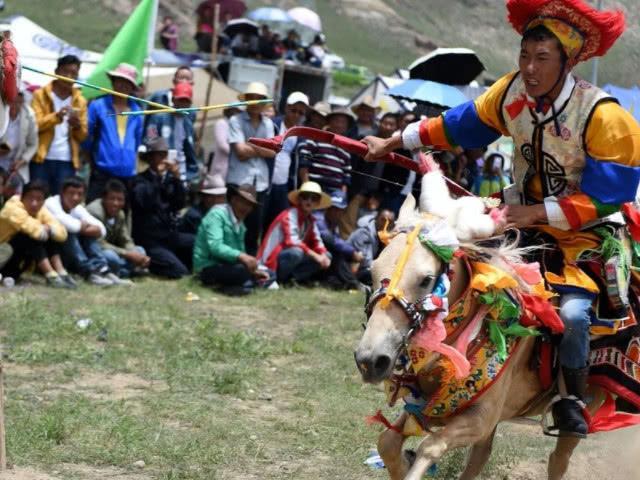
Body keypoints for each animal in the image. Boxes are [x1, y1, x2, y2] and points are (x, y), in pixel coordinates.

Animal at [352, 172, 604, 480]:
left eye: (426, 280)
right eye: (371, 271)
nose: (370, 360)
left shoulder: (480, 416)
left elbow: (430, 446)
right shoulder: (428, 405)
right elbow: (387, 442)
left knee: (559, 459)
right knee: (480, 457)